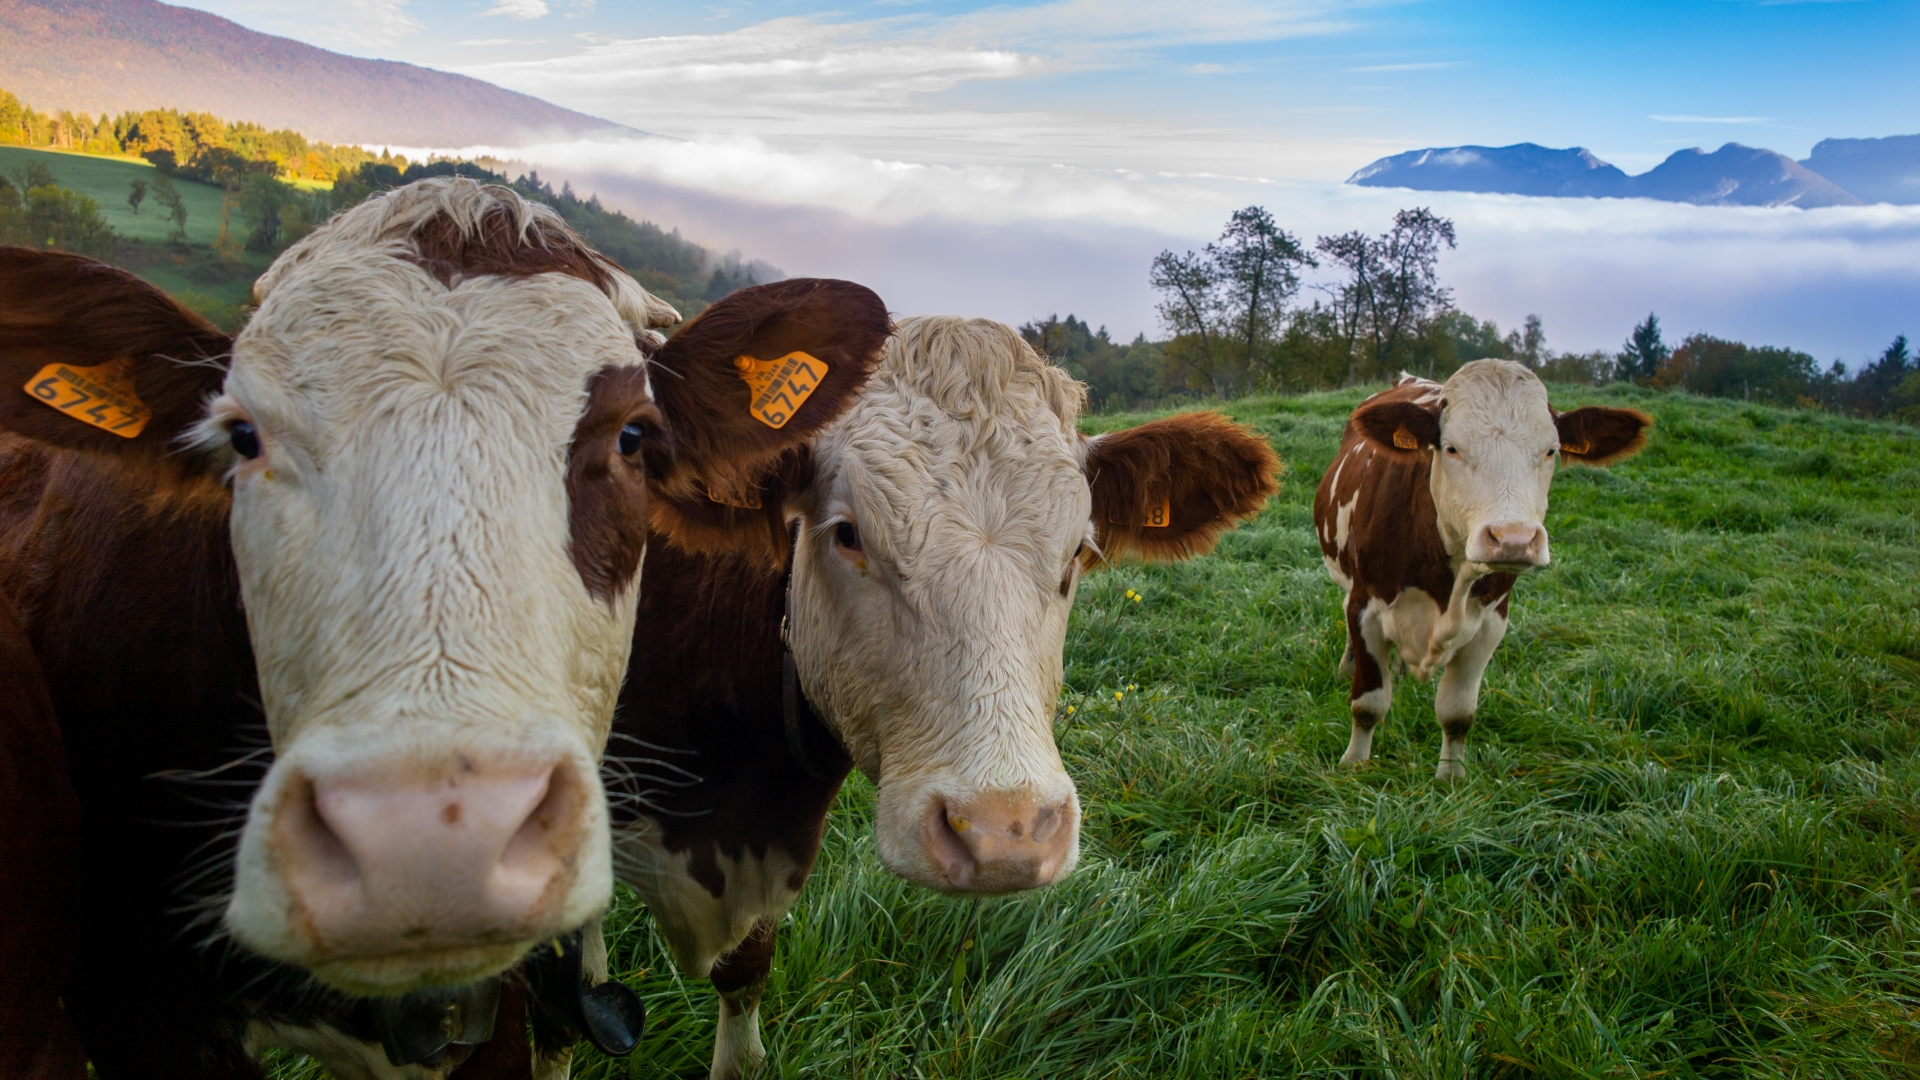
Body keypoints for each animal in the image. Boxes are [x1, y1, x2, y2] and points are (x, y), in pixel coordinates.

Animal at [1313, 361, 1650, 780]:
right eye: (1451, 448)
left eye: (1551, 451)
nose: (1514, 540)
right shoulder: (1366, 607)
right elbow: (1368, 703)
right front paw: (1354, 766)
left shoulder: (1490, 623)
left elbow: (1457, 714)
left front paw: (1450, 780)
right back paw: (1348, 666)